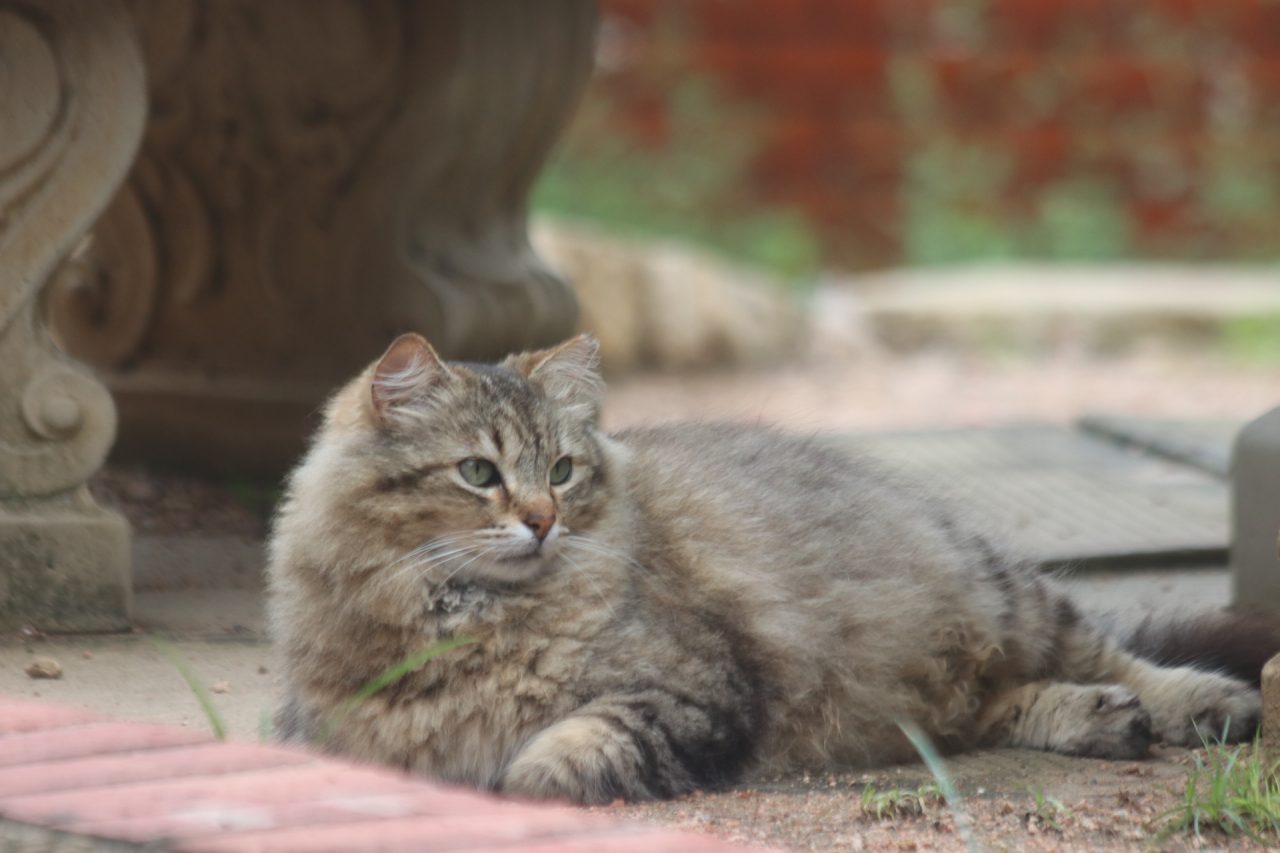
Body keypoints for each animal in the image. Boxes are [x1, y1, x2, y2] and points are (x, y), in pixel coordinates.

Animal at [267, 333, 1269, 804]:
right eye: (479, 473)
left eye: (561, 471)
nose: (544, 522)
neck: (468, 624)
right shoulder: (327, 731)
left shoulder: (691, 690)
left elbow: (547, 763)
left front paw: (514, 784)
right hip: (939, 682)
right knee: (1001, 704)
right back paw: (1102, 720)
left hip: (1003, 595)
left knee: (1115, 655)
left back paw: (1204, 705)